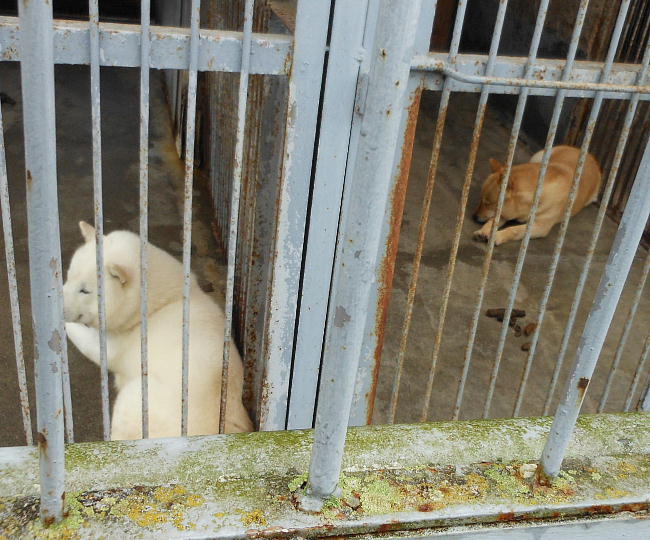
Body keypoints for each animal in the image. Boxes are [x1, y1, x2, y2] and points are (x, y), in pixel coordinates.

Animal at [473, 145, 602, 246]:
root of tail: (589, 155)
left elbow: (515, 229)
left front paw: (497, 236)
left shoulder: (539, 227)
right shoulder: (505, 212)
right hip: (539, 156)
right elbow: (493, 220)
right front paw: (484, 231)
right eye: (480, 200)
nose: (474, 216)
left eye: (487, 204)